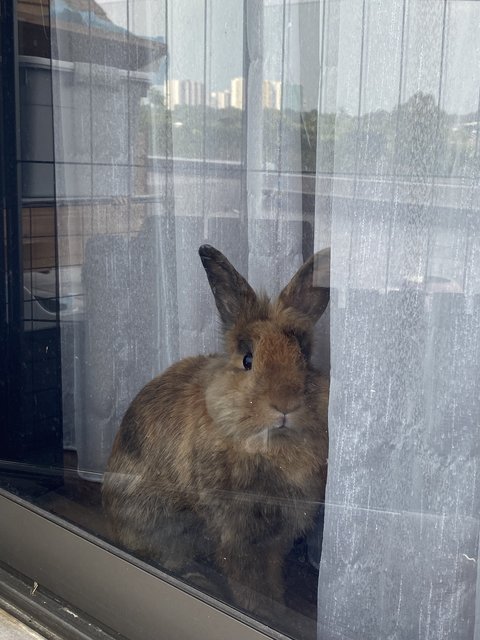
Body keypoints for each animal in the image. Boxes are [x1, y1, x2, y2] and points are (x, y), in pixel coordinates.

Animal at [103, 244, 330, 616]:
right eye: (248, 360)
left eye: (305, 357)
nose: (285, 404)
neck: (270, 448)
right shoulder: (233, 530)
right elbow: (244, 576)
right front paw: (259, 610)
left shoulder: (277, 536)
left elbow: (270, 574)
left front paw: (277, 607)